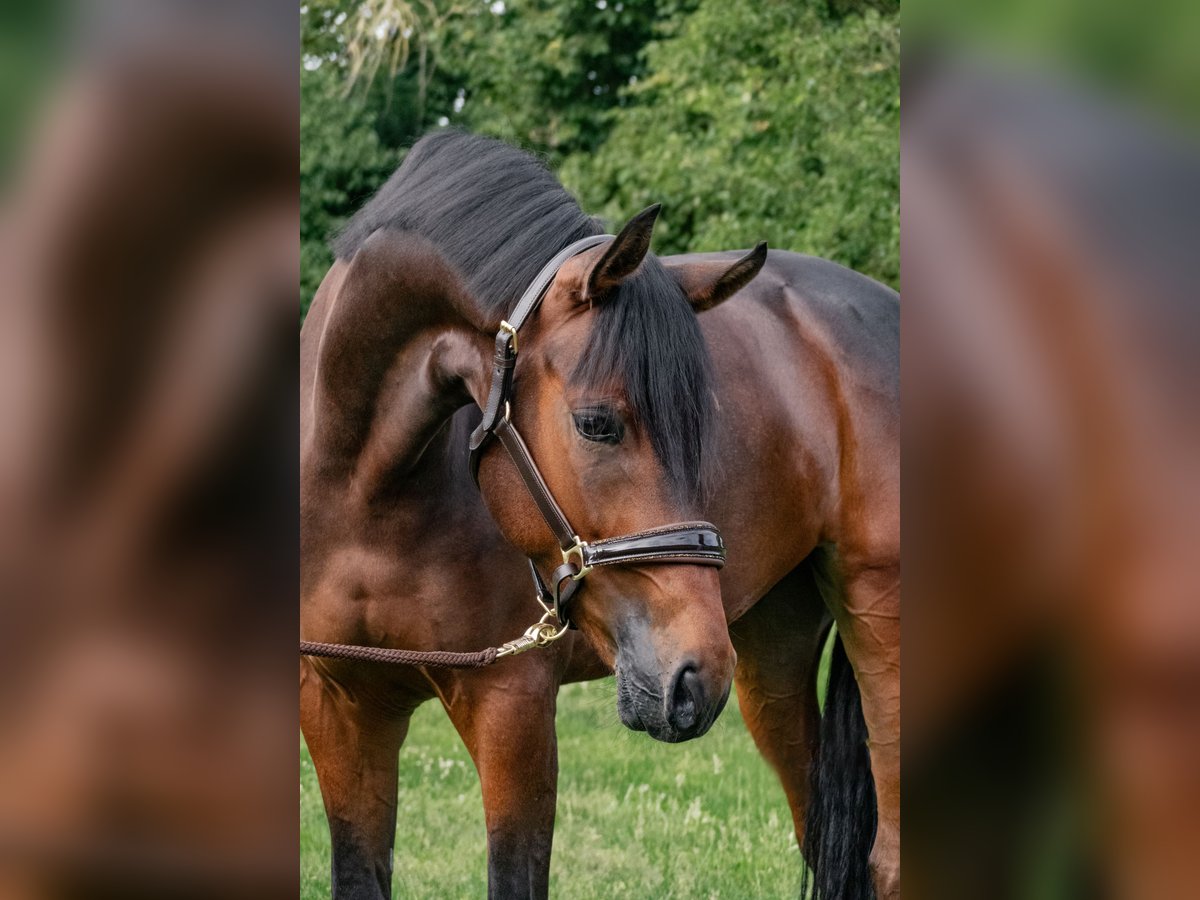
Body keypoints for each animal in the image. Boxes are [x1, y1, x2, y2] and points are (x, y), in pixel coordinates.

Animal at [300, 130, 902, 897]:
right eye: (596, 424)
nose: (693, 675)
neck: (366, 497)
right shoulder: (337, 706)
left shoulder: (513, 706)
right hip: (772, 653)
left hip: (877, 618)